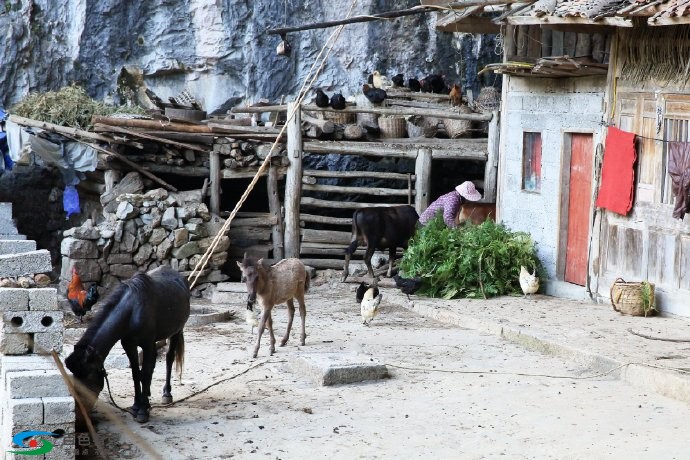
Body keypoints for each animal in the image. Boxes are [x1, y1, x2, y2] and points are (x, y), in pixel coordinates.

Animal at [65, 266, 188, 424]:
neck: (133, 311)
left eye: (87, 377)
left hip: (177, 331)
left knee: (169, 358)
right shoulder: (129, 345)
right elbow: (136, 374)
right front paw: (136, 406)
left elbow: (145, 374)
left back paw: (166, 394)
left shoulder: (148, 345)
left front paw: (142, 411)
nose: (80, 416)